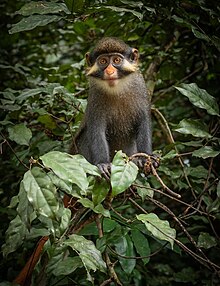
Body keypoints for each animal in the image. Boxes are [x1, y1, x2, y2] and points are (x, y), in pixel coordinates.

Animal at [70, 36, 153, 175]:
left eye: (116, 60)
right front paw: (103, 163)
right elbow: (96, 129)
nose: (109, 71)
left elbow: (144, 122)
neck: (117, 90)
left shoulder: (140, 86)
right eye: (103, 61)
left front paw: (145, 157)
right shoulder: (95, 95)